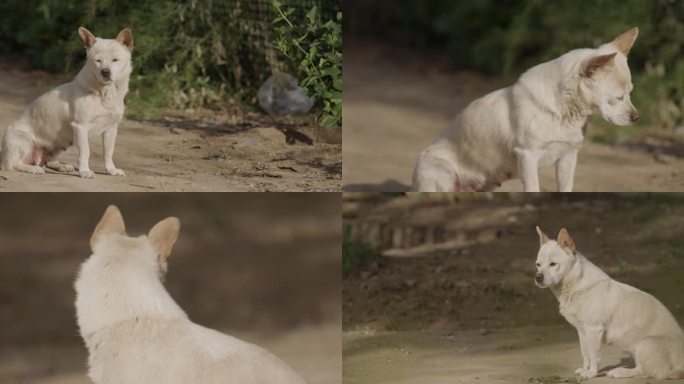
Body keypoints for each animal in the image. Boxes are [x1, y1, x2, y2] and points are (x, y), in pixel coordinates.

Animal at [0, 26, 132, 179]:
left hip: (58, 144)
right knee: (14, 165)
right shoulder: (81, 127)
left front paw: (111, 170)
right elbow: (85, 152)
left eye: (115, 60)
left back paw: (62, 166)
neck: (104, 94)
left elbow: (108, 152)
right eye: (97, 61)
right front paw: (85, 171)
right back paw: (33, 169)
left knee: (47, 161)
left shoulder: (111, 129)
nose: (105, 71)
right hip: (24, 140)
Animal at [412, 27, 640, 192]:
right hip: (442, 175)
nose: (636, 117)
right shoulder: (527, 157)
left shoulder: (568, 157)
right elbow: (534, 189)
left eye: (630, 94)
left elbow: (566, 188)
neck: (565, 112)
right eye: (618, 98)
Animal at [536, 226, 684, 380]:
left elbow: (593, 355)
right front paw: (584, 370)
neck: (574, 285)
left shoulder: (593, 330)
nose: (537, 277)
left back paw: (620, 372)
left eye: (553, 264)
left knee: (648, 372)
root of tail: (681, 367)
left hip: (645, 344)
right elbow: (585, 353)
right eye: (538, 265)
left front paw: (591, 373)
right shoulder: (582, 331)